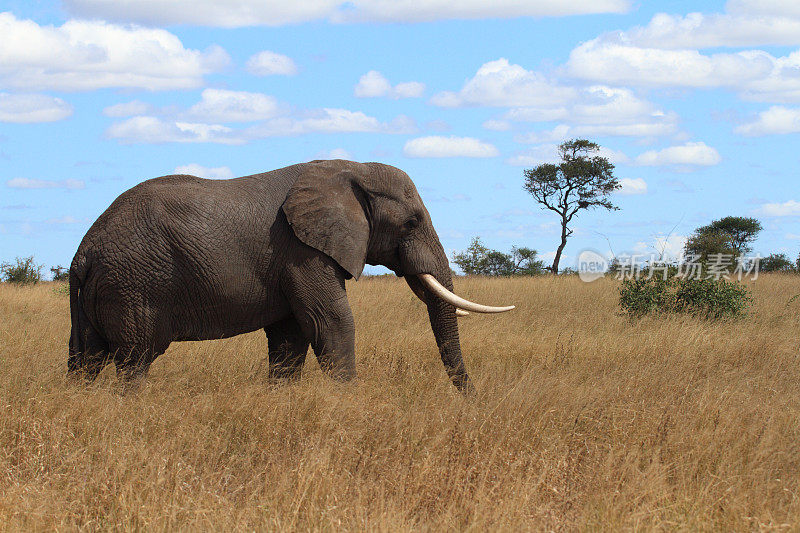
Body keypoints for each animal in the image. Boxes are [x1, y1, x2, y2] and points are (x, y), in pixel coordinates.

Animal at [70, 159, 512, 390]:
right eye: (411, 223)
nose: (472, 400)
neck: (350, 169)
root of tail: (85, 251)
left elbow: (290, 338)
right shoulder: (302, 252)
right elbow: (331, 322)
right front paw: (349, 403)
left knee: (86, 356)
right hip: (134, 285)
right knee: (134, 359)